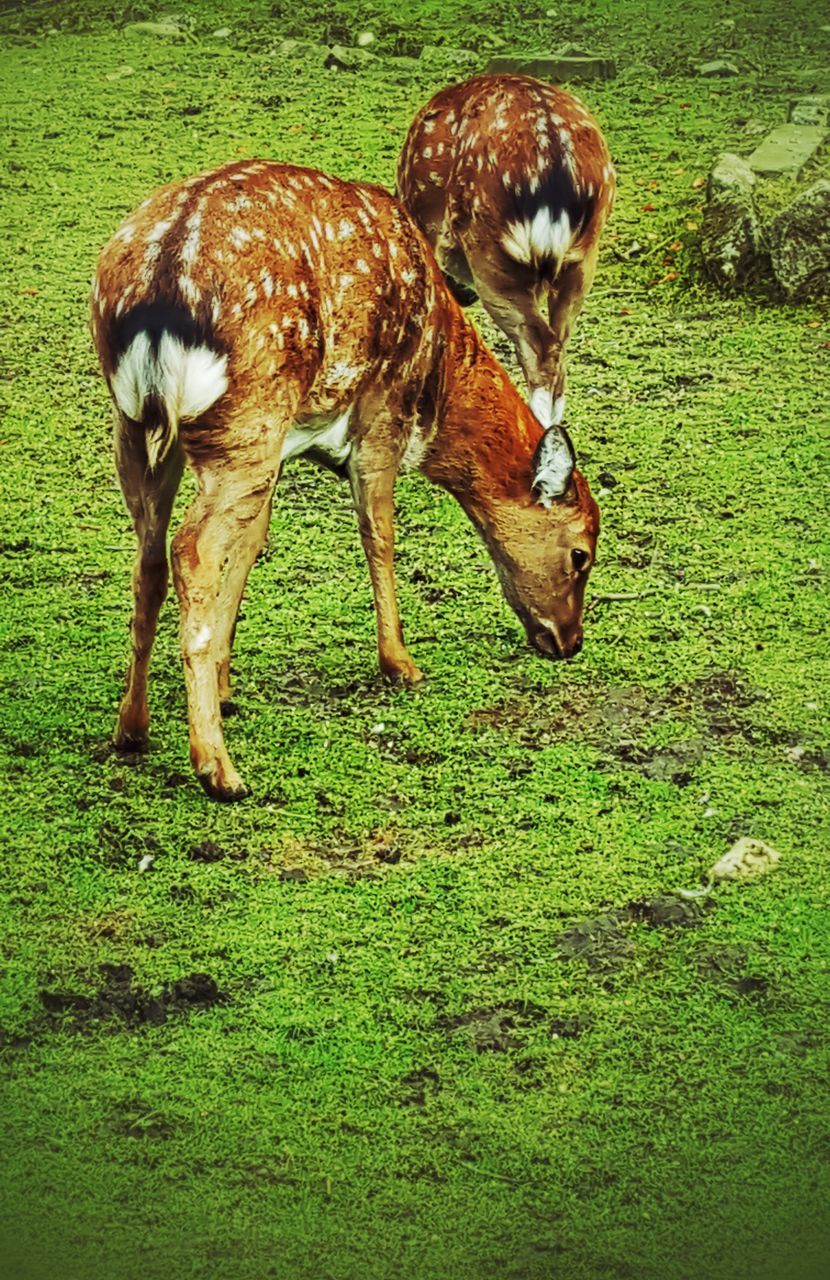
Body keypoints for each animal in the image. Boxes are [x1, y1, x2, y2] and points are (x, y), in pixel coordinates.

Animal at [89, 160, 596, 798]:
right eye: (582, 553)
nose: (569, 642)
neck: (438, 376)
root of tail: (156, 294)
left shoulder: (286, 444)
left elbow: (253, 545)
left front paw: (226, 688)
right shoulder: (383, 413)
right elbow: (379, 534)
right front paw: (401, 663)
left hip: (142, 426)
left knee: (150, 556)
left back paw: (132, 727)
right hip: (245, 421)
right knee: (192, 550)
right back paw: (218, 768)